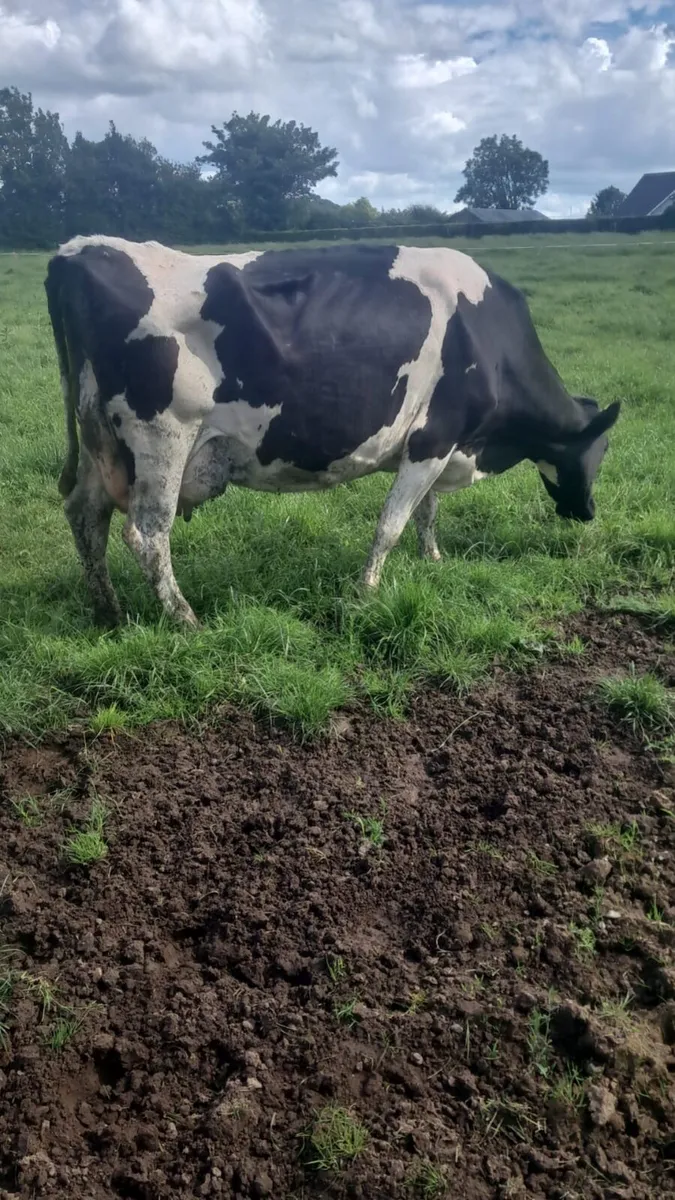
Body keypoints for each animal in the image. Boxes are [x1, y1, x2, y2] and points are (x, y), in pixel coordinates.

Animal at [45, 236, 620, 628]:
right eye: (600, 451)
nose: (589, 512)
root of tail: (79, 250)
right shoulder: (433, 438)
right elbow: (392, 523)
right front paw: (367, 591)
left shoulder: (438, 444)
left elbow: (427, 511)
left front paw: (432, 559)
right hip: (161, 438)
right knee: (146, 534)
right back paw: (185, 618)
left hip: (100, 442)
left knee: (85, 515)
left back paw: (108, 611)